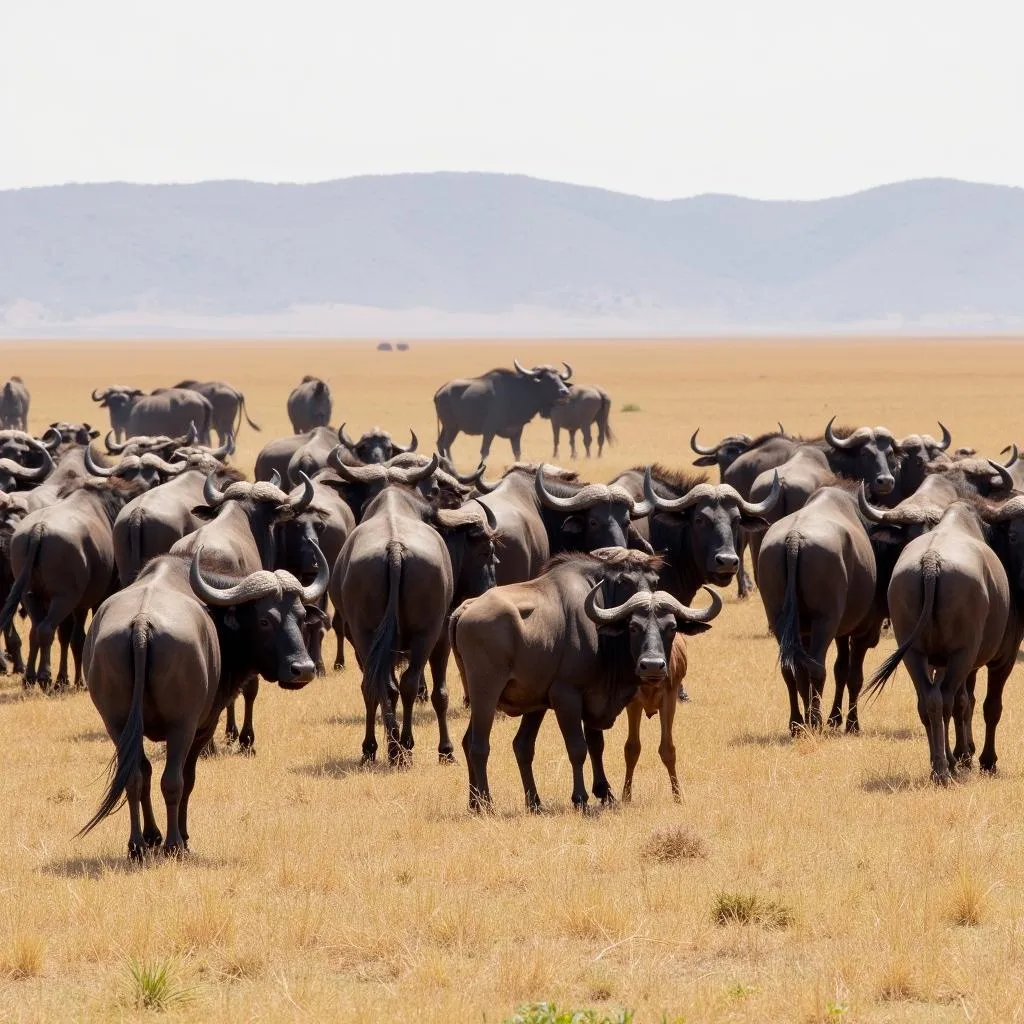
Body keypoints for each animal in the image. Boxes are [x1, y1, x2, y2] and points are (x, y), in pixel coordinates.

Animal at [81, 548, 325, 860]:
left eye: (302, 617)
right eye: (264, 620)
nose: (303, 669)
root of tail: (141, 625)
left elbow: (145, 772)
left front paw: (152, 836)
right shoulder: (204, 728)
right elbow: (188, 779)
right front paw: (181, 837)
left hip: (117, 724)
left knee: (134, 777)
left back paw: (136, 846)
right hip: (181, 727)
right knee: (173, 780)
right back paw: (175, 844)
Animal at [434, 358, 573, 458]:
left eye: (560, 378)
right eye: (549, 379)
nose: (565, 392)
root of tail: (440, 392)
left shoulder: (516, 432)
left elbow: (517, 453)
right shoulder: (489, 430)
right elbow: (484, 452)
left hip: (447, 428)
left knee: (440, 444)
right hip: (452, 428)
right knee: (446, 446)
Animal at [864, 491, 1024, 778]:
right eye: (1015, 535)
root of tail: (931, 561)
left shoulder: (947, 662)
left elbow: (966, 703)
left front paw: (964, 753)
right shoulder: (1001, 658)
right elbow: (987, 706)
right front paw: (984, 759)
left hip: (914, 654)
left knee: (928, 701)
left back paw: (939, 764)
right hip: (960, 654)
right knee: (945, 700)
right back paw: (946, 768)